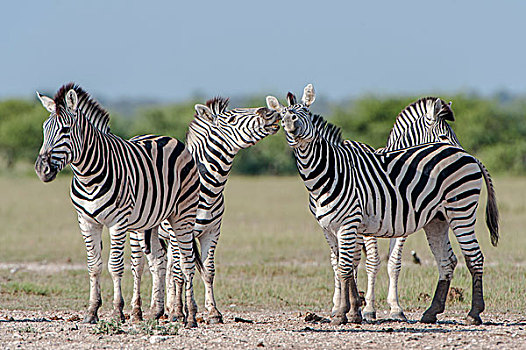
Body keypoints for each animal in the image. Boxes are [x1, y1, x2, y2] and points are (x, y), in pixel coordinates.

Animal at [35, 84, 203, 328]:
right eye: (44, 129)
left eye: (65, 130)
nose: (41, 170)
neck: (88, 175)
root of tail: (167, 137)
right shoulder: (86, 222)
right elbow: (94, 265)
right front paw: (92, 311)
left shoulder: (117, 222)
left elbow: (114, 265)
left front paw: (117, 312)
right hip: (150, 222)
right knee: (159, 260)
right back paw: (156, 311)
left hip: (183, 215)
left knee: (187, 262)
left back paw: (189, 317)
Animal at [130, 95, 282, 322]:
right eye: (232, 118)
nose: (271, 112)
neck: (209, 188)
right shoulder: (178, 232)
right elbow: (179, 272)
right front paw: (179, 311)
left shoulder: (212, 232)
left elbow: (207, 270)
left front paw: (212, 312)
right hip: (138, 229)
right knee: (139, 267)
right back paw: (137, 311)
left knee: (164, 265)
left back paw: (163, 307)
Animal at [268, 84, 500, 326]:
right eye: (282, 115)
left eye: (304, 111)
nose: (290, 122)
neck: (329, 173)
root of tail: (469, 157)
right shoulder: (331, 228)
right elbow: (346, 265)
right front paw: (354, 310)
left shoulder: (360, 224)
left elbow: (370, 264)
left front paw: (355, 312)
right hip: (438, 220)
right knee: (446, 261)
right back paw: (431, 312)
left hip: (461, 210)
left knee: (474, 257)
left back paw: (474, 313)